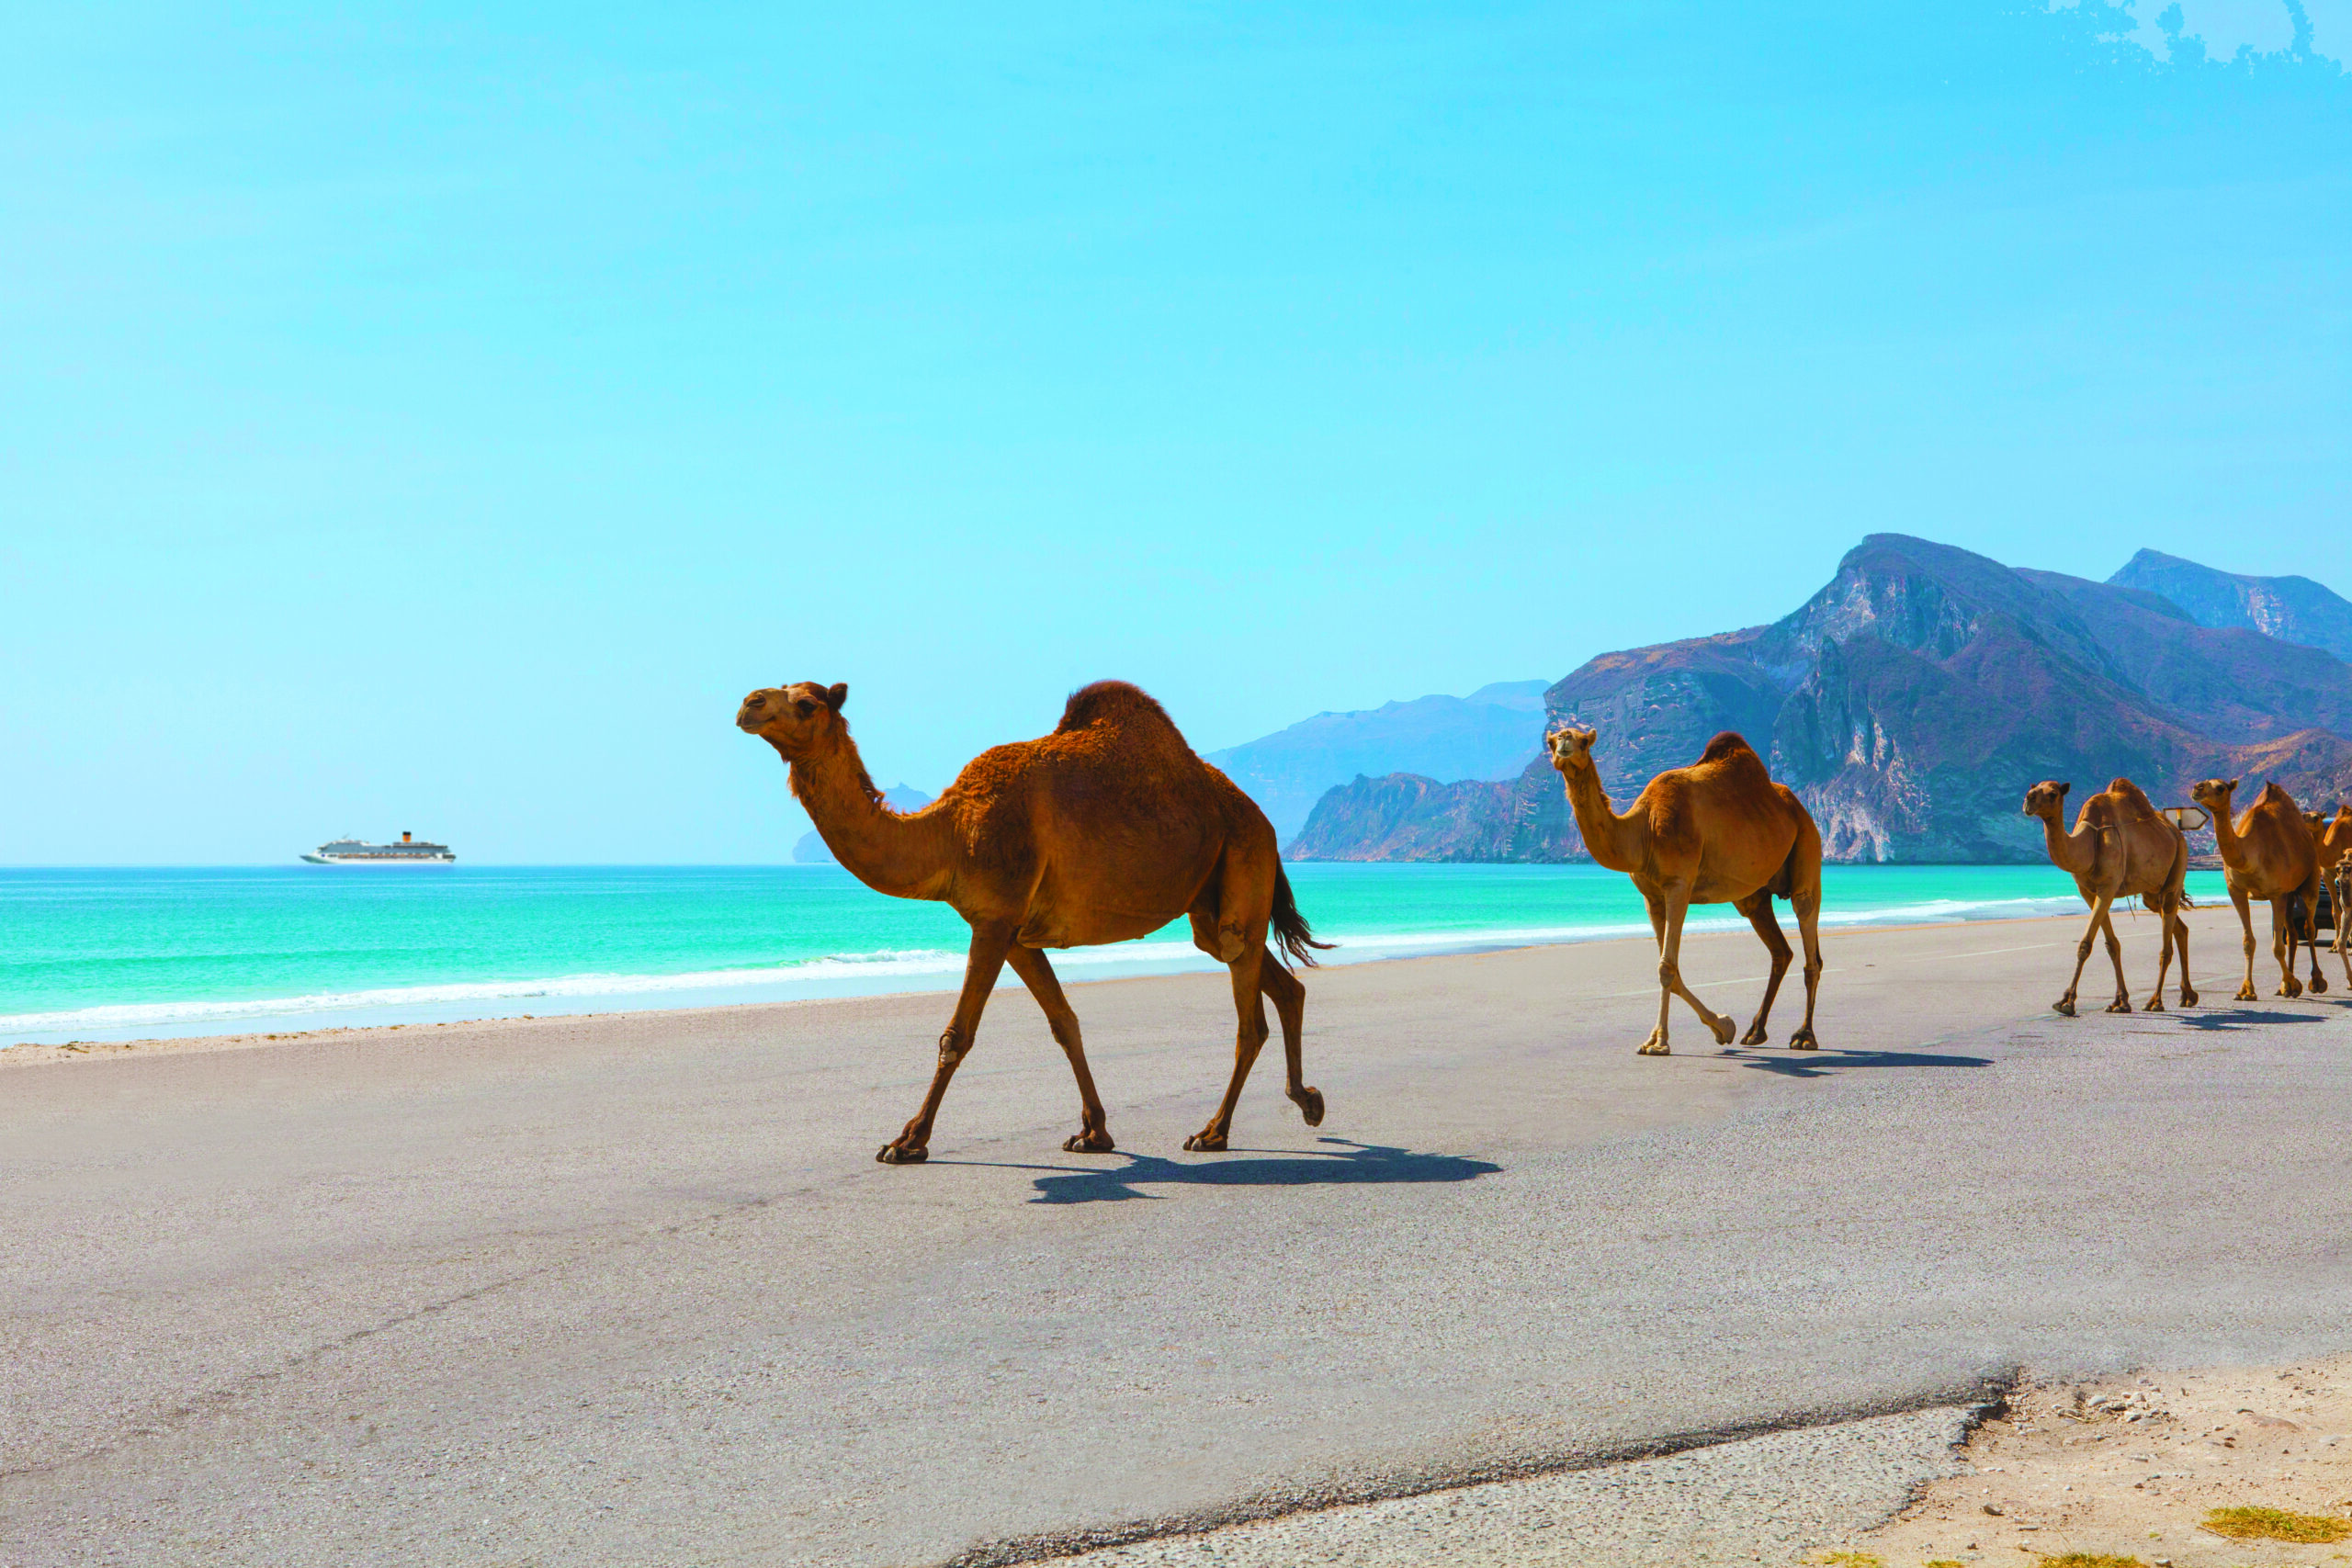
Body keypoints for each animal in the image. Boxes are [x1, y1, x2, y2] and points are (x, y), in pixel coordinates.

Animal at [733, 677, 1326, 1166]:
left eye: (806, 704)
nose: (749, 703)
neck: (952, 833)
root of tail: (1263, 818)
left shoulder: (995, 917)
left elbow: (957, 1035)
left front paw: (908, 1141)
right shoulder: (1014, 933)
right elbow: (1065, 1023)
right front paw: (1094, 1133)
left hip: (1244, 855)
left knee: (1248, 1014)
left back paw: (1213, 1132)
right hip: (1208, 901)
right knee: (1278, 981)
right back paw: (1308, 1102)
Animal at [1533, 733, 1825, 1053]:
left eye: (1584, 742)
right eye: (1551, 741)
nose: (1565, 740)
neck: (1643, 830)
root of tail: (1797, 806)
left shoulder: (1678, 885)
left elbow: (1666, 968)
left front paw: (1660, 1042)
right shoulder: (1651, 897)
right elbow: (1671, 971)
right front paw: (1723, 1026)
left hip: (1807, 840)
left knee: (1806, 919)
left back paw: (1804, 1036)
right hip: (1753, 893)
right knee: (1779, 948)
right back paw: (1755, 1031)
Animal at [2022, 780, 2201, 1020]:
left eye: (2052, 794)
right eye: (2033, 788)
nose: (2029, 799)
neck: (2089, 845)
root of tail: (2176, 832)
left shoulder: (2108, 886)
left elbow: (2085, 944)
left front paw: (2066, 1002)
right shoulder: (2088, 891)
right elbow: (2112, 944)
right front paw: (2120, 1002)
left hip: (2178, 866)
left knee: (2166, 946)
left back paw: (2155, 1001)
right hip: (2151, 892)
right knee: (2179, 928)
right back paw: (2188, 995)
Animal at [2191, 775, 2324, 1006]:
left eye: (2221, 788)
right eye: (2203, 782)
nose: (2196, 788)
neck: (2250, 856)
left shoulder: (2276, 893)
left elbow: (2277, 946)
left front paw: (2295, 984)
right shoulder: (2236, 892)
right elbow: (2248, 942)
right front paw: (2246, 991)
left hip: (2310, 881)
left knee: (2309, 927)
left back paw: (2316, 982)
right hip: (2290, 894)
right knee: (2293, 932)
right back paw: (2283, 986)